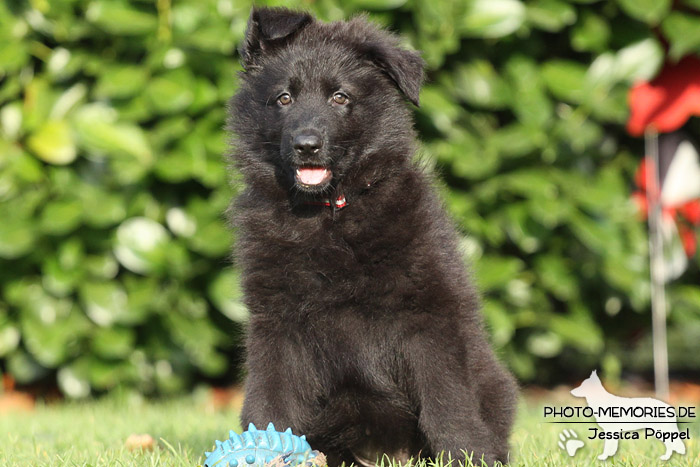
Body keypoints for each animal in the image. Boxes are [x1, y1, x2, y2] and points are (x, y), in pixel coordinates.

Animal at [228, 8, 516, 467]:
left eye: (340, 97)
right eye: (284, 98)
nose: (307, 145)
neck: (331, 214)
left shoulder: (429, 316)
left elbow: (447, 401)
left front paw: (467, 453)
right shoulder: (277, 324)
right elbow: (272, 400)